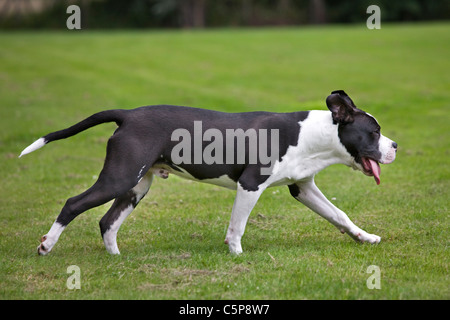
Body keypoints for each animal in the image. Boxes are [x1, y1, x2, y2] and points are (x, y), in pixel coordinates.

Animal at [19, 90, 396, 255]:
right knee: (73, 203)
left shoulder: (303, 187)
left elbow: (340, 215)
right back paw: (47, 245)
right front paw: (236, 254)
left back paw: (115, 258)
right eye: (374, 132)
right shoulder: (250, 184)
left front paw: (365, 237)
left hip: (135, 187)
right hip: (118, 179)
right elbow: (237, 226)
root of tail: (127, 114)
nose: (395, 146)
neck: (313, 135)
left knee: (107, 221)